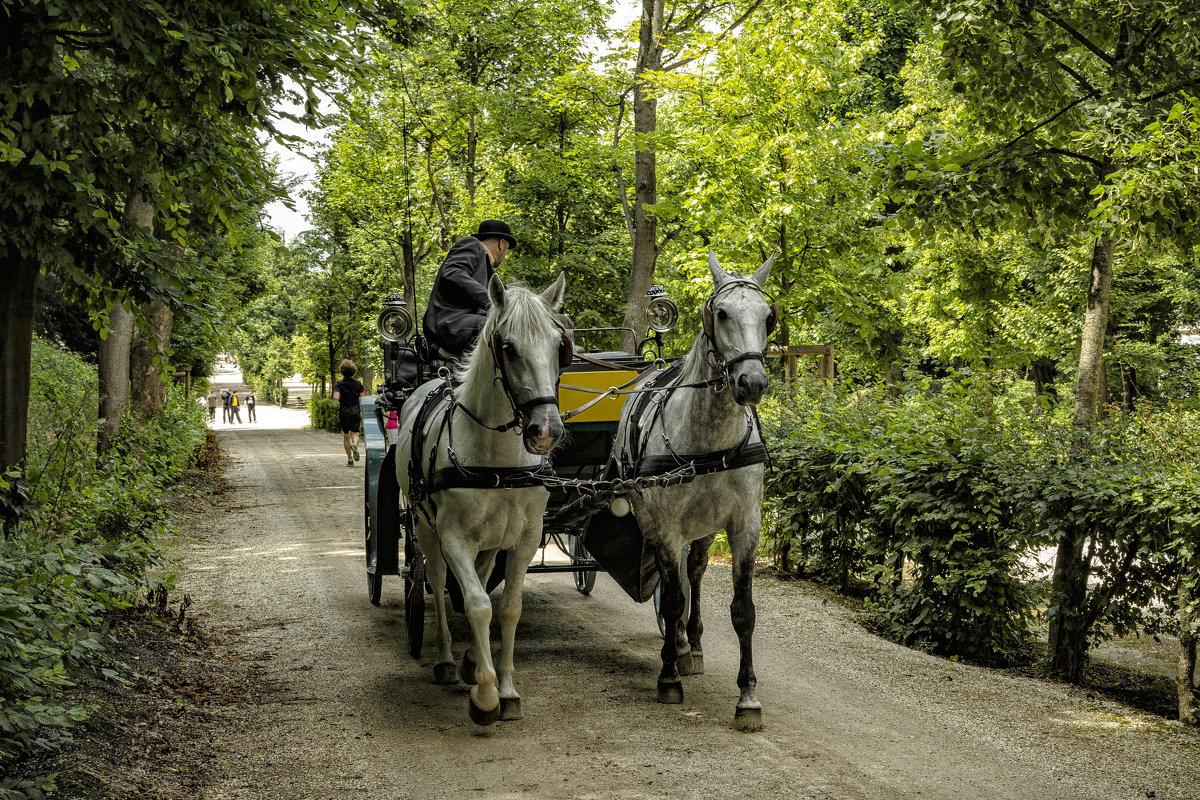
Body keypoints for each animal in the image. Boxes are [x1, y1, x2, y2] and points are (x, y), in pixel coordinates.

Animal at [391, 273, 564, 724]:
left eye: (559, 346)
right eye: (509, 347)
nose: (546, 431)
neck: (497, 460)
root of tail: (433, 379)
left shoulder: (524, 539)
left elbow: (507, 607)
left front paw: (506, 688)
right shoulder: (454, 538)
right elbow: (478, 605)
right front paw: (486, 695)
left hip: (490, 540)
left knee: (484, 578)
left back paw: (470, 657)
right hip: (425, 528)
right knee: (437, 580)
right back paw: (448, 660)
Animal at [614, 250, 772, 734]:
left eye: (768, 316)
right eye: (721, 314)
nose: (752, 382)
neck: (711, 441)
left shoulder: (745, 524)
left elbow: (742, 610)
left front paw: (748, 697)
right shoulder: (666, 525)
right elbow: (672, 595)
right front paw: (668, 676)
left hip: (704, 525)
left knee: (696, 571)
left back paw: (692, 645)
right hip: (655, 520)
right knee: (676, 583)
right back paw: (679, 649)